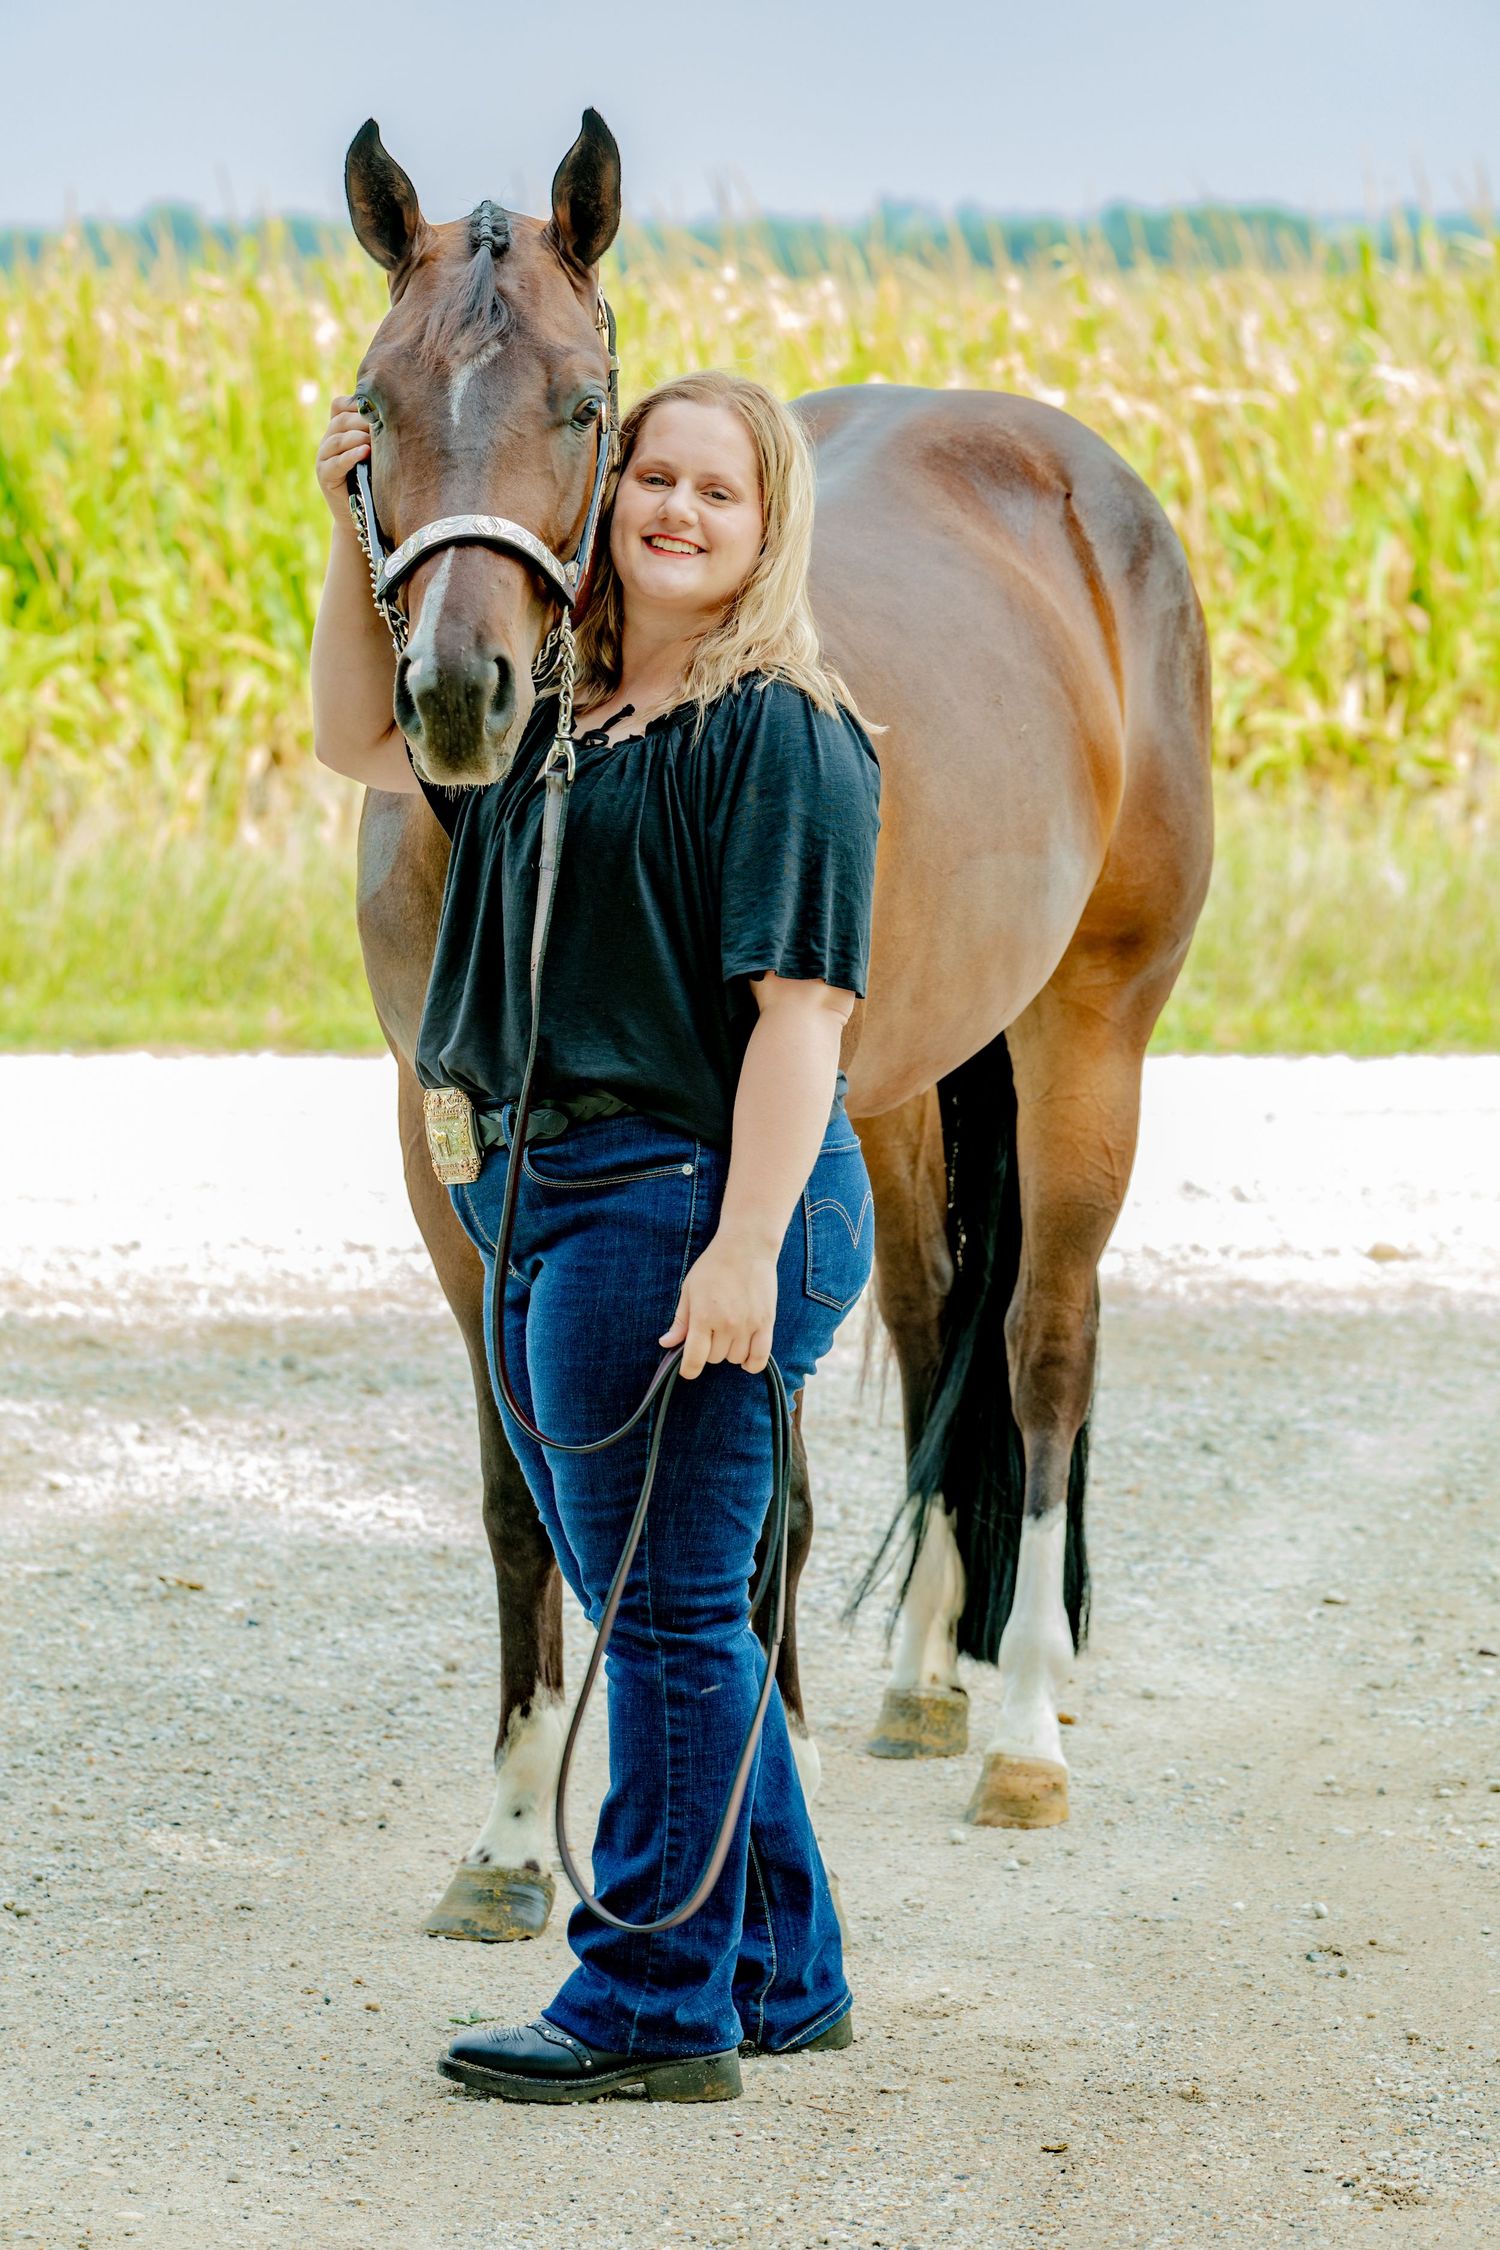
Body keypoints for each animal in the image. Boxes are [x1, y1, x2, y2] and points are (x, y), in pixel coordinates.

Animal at [341, 109, 1212, 1941]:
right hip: (902, 1089)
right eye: (376, 402)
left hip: (1091, 1032)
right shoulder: (441, 1153)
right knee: (938, 1315)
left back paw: (1024, 1730)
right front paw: (511, 1836)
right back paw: (928, 1674)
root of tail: (1084, 489)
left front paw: (740, 1792)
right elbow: (525, 1494)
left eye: (581, 409)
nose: (459, 698)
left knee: (1041, 1341)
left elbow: (747, 1485)